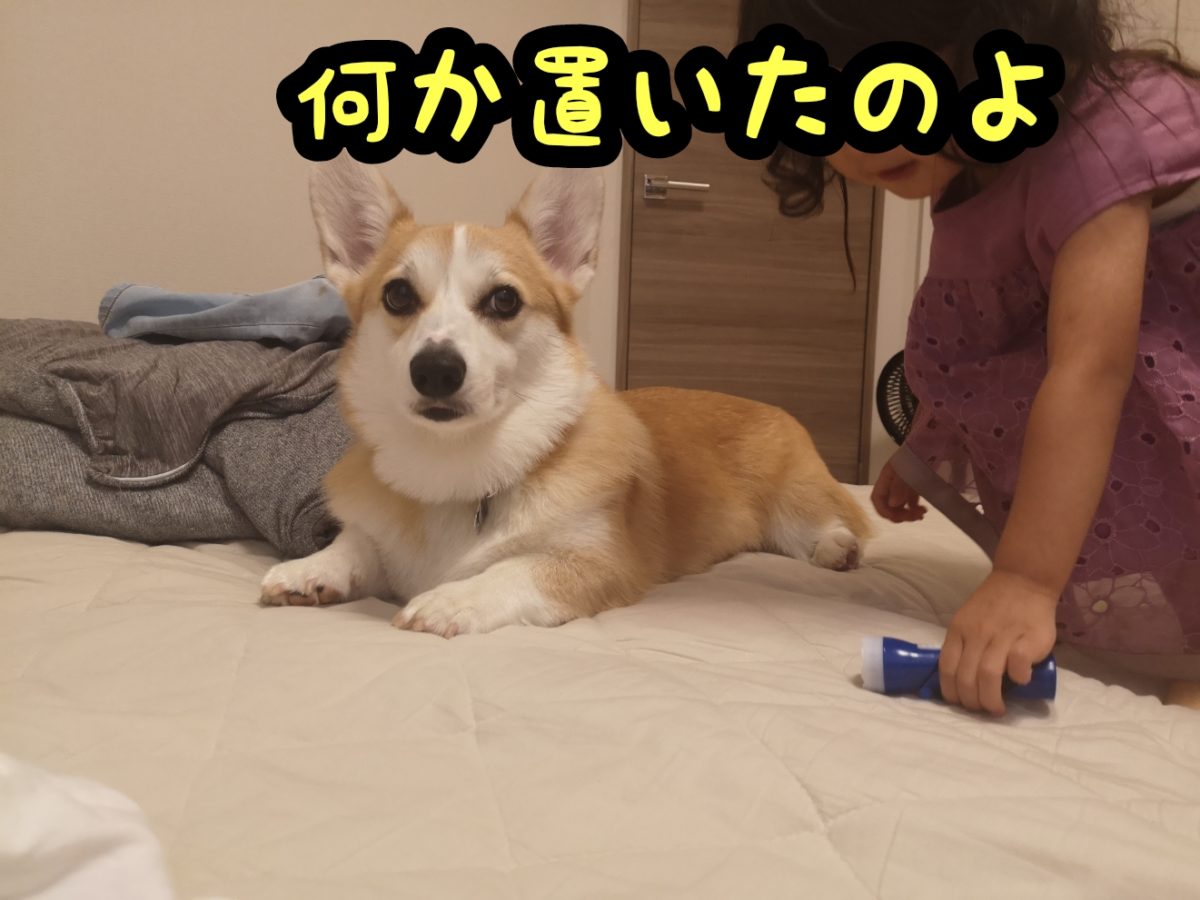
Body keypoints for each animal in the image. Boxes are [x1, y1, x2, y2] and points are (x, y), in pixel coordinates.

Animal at [259, 154, 872, 637]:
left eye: (504, 300)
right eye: (398, 296)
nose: (434, 370)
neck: (458, 470)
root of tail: (759, 401)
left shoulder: (599, 561)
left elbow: (512, 569)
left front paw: (449, 598)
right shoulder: (375, 536)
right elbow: (357, 544)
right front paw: (308, 569)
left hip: (794, 501)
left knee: (825, 523)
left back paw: (836, 547)